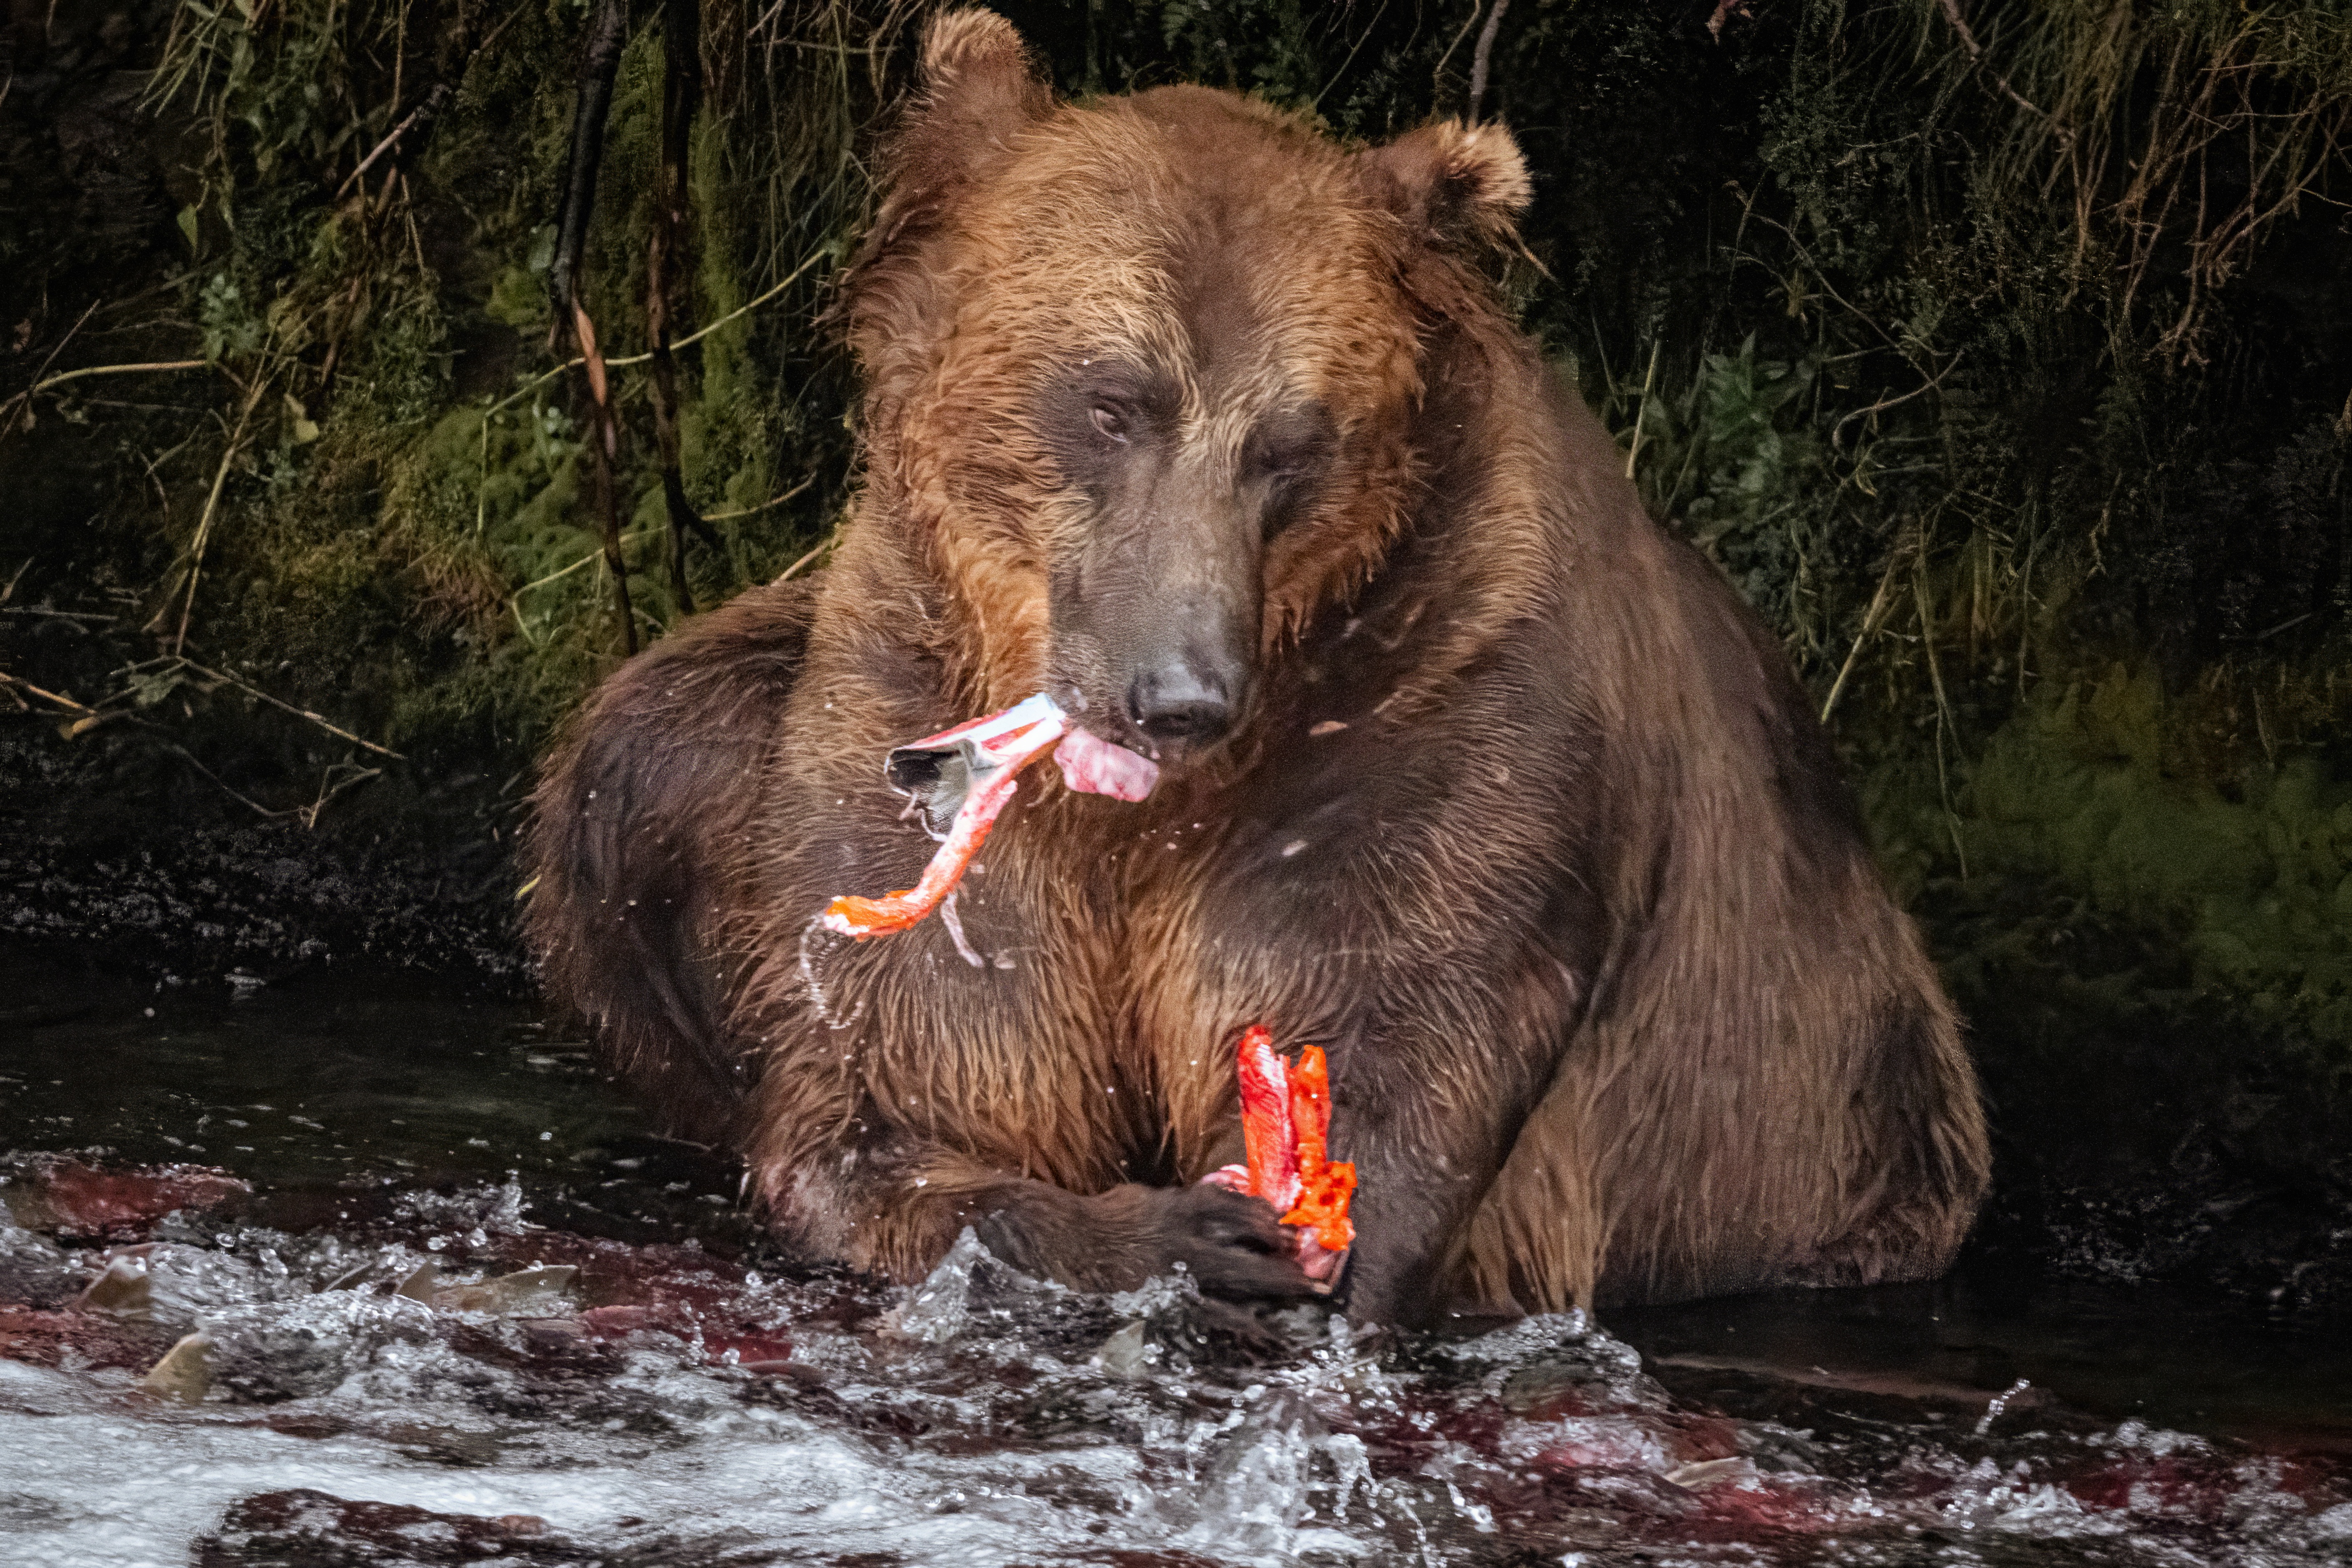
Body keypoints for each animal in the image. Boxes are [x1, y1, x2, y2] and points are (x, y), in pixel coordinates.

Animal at [525, 8, 1991, 1327]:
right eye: (1110, 400)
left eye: (1291, 443)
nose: (1181, 691)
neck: (1134, 812)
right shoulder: (904, 714)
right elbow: (908, 1086)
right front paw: (1173, 1237)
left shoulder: (1441, 725)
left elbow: (1380, 1048)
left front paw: (1282, 1243)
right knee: (641, 747)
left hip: (1855, 1129)